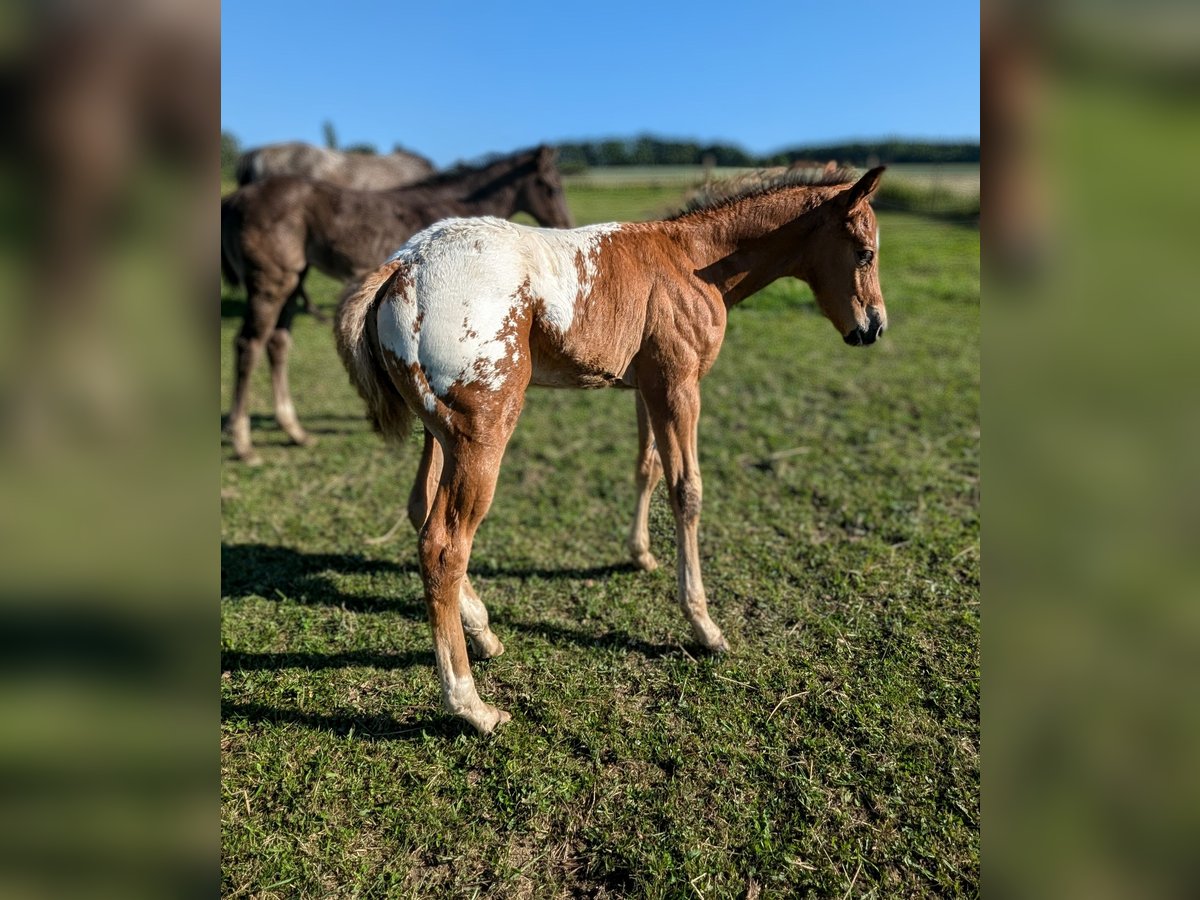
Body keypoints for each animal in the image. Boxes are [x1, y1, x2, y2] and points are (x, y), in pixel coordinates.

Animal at [222, 146, 576, 465]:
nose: (564, 223)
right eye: (550, 186)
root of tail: (236, 199)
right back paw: (243, 445)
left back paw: (294, 431)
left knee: (277, 343)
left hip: (294, 280)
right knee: (248, 344)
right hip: (272, 282)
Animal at [333, 165, 888, 734]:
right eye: (865, 252)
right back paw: (472, 706)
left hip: (439, 432)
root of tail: (402, 267)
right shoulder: (680, 386)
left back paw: (484, 634)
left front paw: (640, 554)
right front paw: (705, 627)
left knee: (420, 508)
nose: (873, 327)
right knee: (444, 546)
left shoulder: (648, 387)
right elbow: (687, 491)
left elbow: (646, 467)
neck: (693, 261)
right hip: (482, 435)